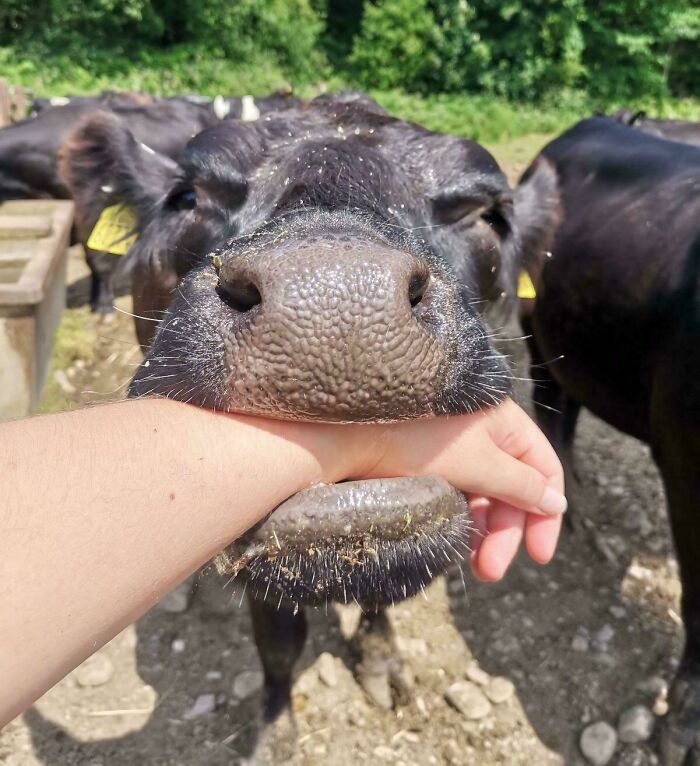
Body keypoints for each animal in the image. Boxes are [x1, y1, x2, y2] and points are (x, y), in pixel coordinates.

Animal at [58, 93, 555, 759]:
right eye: (188, 197)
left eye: (486, 214)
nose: (337, 296)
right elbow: (277, 644)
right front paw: (275, 732)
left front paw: (381, 666)